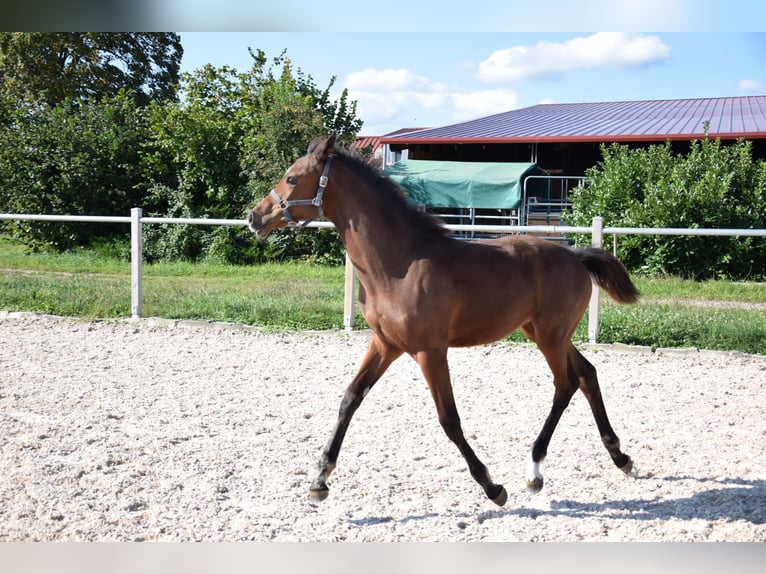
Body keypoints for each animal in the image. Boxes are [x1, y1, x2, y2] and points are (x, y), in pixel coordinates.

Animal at [248, 135, 640, 508]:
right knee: (586, 374)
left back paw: (535, 469)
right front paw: (319, 481)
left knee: (566, 383)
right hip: (546, 333)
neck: (398, 265)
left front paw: (493, 487)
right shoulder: (385, 344)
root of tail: (576, 256)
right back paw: (620, 457)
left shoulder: (430, 351)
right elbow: (350, 398)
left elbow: (448, 419)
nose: (255, 218)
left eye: (292, 178)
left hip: (550, 336)